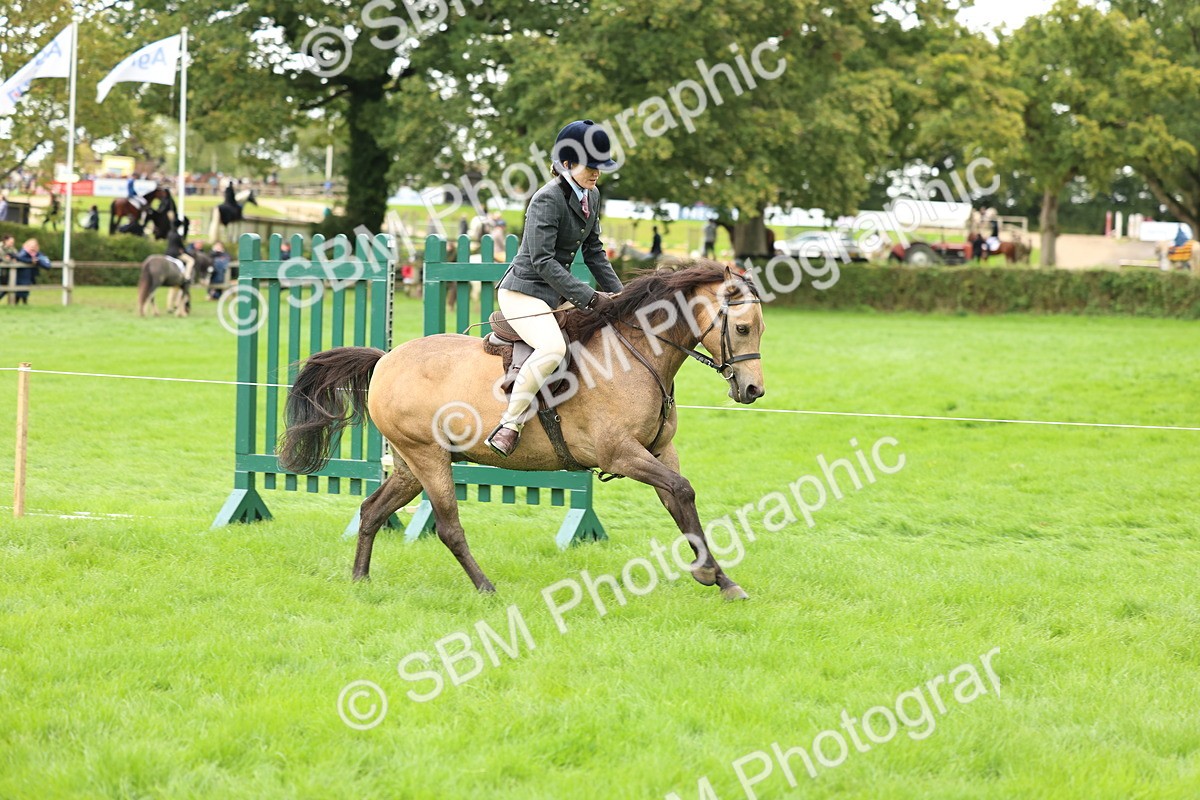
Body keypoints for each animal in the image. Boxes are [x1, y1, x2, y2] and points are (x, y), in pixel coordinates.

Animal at [277, 263, 766, 599]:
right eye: (742, 327)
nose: (753, 389)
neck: (638, 353)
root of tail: (385, 360)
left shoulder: (659, 452)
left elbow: (680, 502)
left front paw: (722, 579)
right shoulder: (622, 455)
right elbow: (682, 491)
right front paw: (708, 573)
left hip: (407, 465)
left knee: (372, 511)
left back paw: (360, 580)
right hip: (428, 458)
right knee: (448, 527)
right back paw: (486, 588)